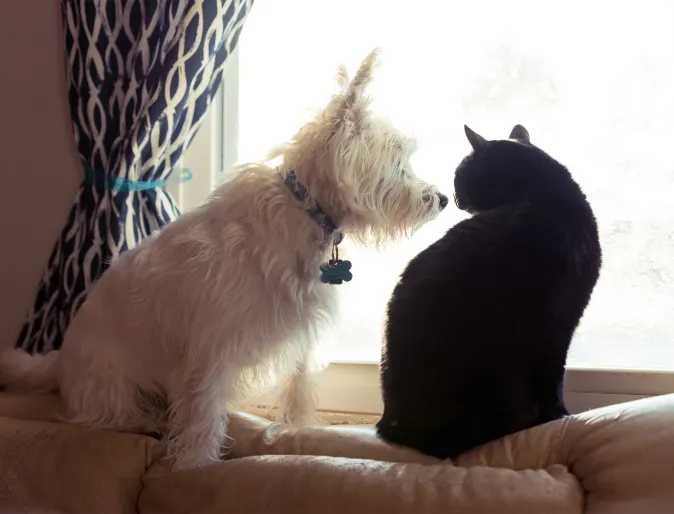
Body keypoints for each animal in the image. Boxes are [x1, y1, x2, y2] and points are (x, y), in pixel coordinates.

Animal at [0, 48, 446, 468]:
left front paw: (298, 428)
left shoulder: (302, 329)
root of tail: (60, 362)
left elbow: (298, 386)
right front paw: (195, 464)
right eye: (398, 161)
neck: (305, 211)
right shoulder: (211, 345)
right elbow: (203, 413)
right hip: (113, 384)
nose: (441, 199)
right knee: (114, 414)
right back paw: (149, 421)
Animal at [376, 123, 600, 456]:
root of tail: (393, 425)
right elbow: (554, 380)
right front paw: (560, 416)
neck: (545, 191)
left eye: (459, 175)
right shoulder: (557, 326)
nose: (454, 198)